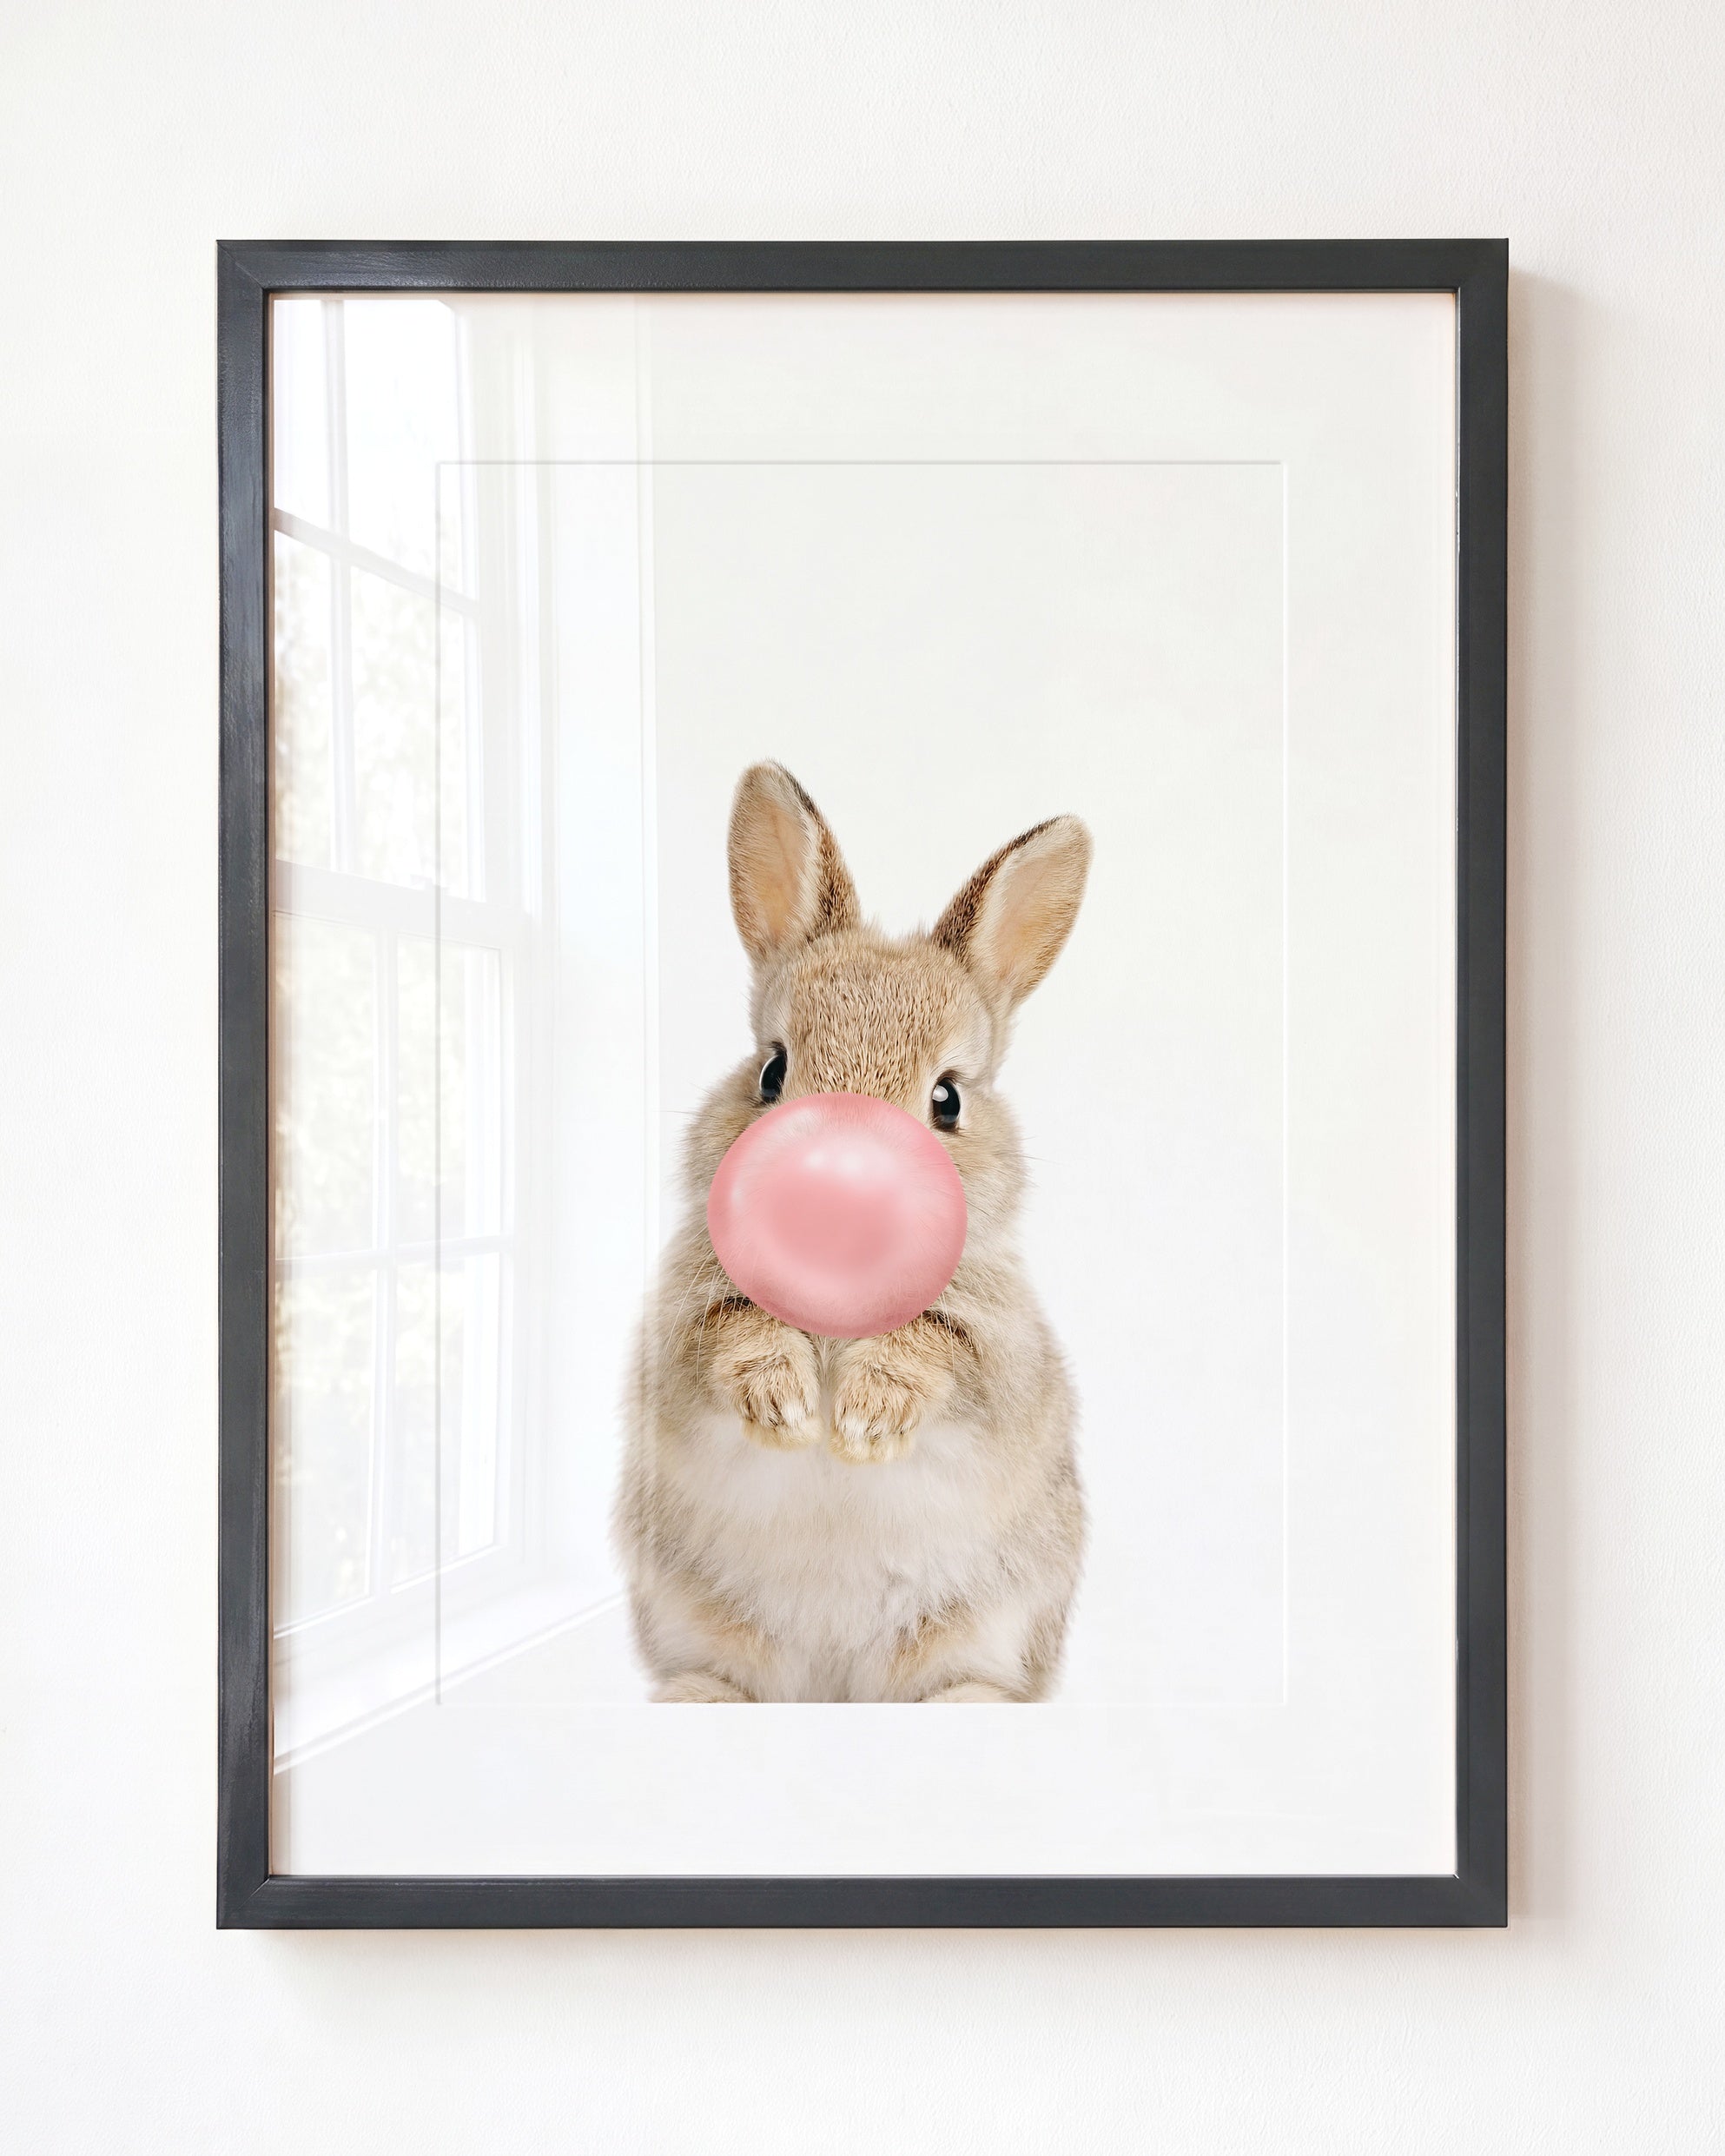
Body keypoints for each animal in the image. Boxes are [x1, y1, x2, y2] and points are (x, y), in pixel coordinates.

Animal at [616, 761, 1091, 1702]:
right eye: (772, 1070)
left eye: (947, 1099)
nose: (837, 1184)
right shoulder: (680, 1336)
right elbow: (730, 1335)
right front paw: (788, 1407)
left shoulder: (1001, 1356)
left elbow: (937, 1348)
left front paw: (865, 1421)